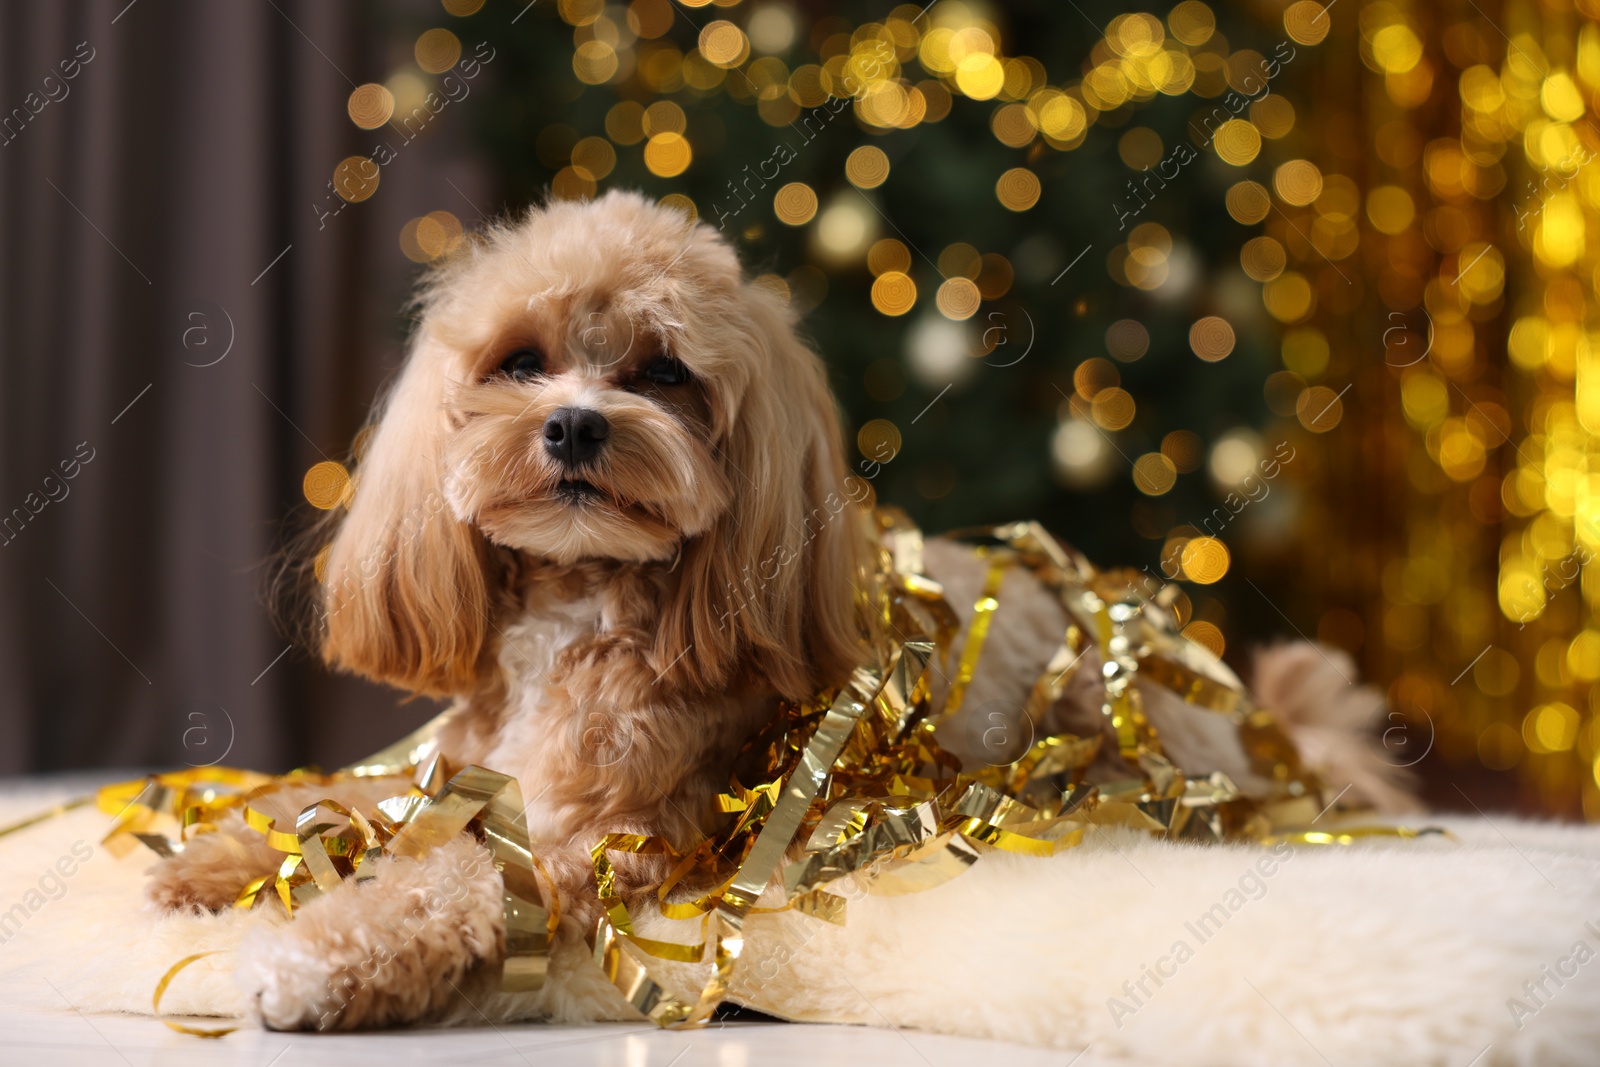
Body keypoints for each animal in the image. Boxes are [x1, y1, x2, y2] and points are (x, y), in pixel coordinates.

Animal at [144, 191, 1408, 1036]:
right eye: (518, 361)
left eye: (663, 373)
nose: (575, 425)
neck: (579, 609)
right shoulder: (459, 765)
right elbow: (330, 795)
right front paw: (213, 851)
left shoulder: (587, 834)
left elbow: (443, 879)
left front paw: (312, 957)